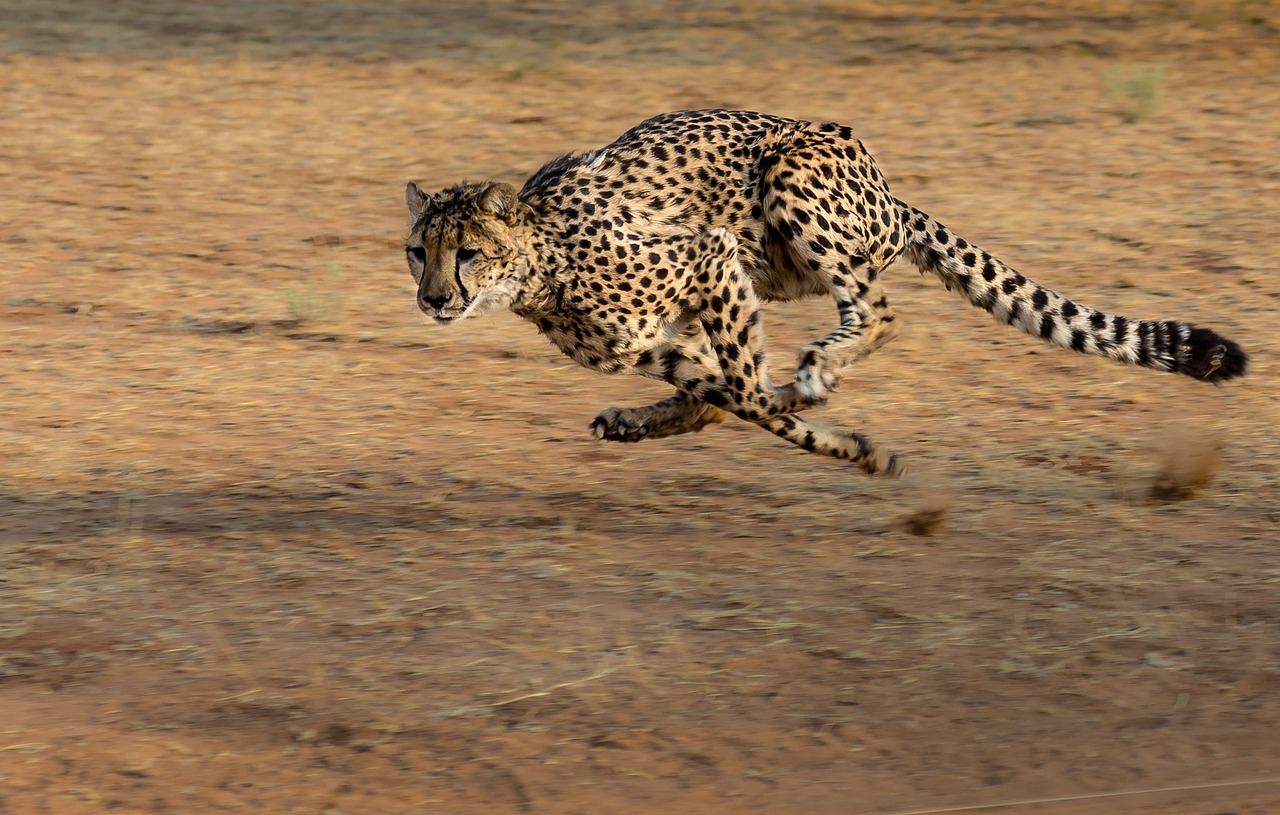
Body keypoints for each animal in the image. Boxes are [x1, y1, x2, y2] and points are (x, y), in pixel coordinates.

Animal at [404, 109, 1247, 477]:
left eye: (467, 252)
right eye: (419, 252)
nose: (434, 299)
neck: (539, 265)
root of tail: (889, 190)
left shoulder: (709, 256)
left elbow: (749, 393)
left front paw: (836, 428)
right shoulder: (660, 340)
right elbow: (728, 398)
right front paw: (850, 444)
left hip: (790, 183)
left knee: (878, 311)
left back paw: (818, 368)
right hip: (775, 264)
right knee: (731, 389)